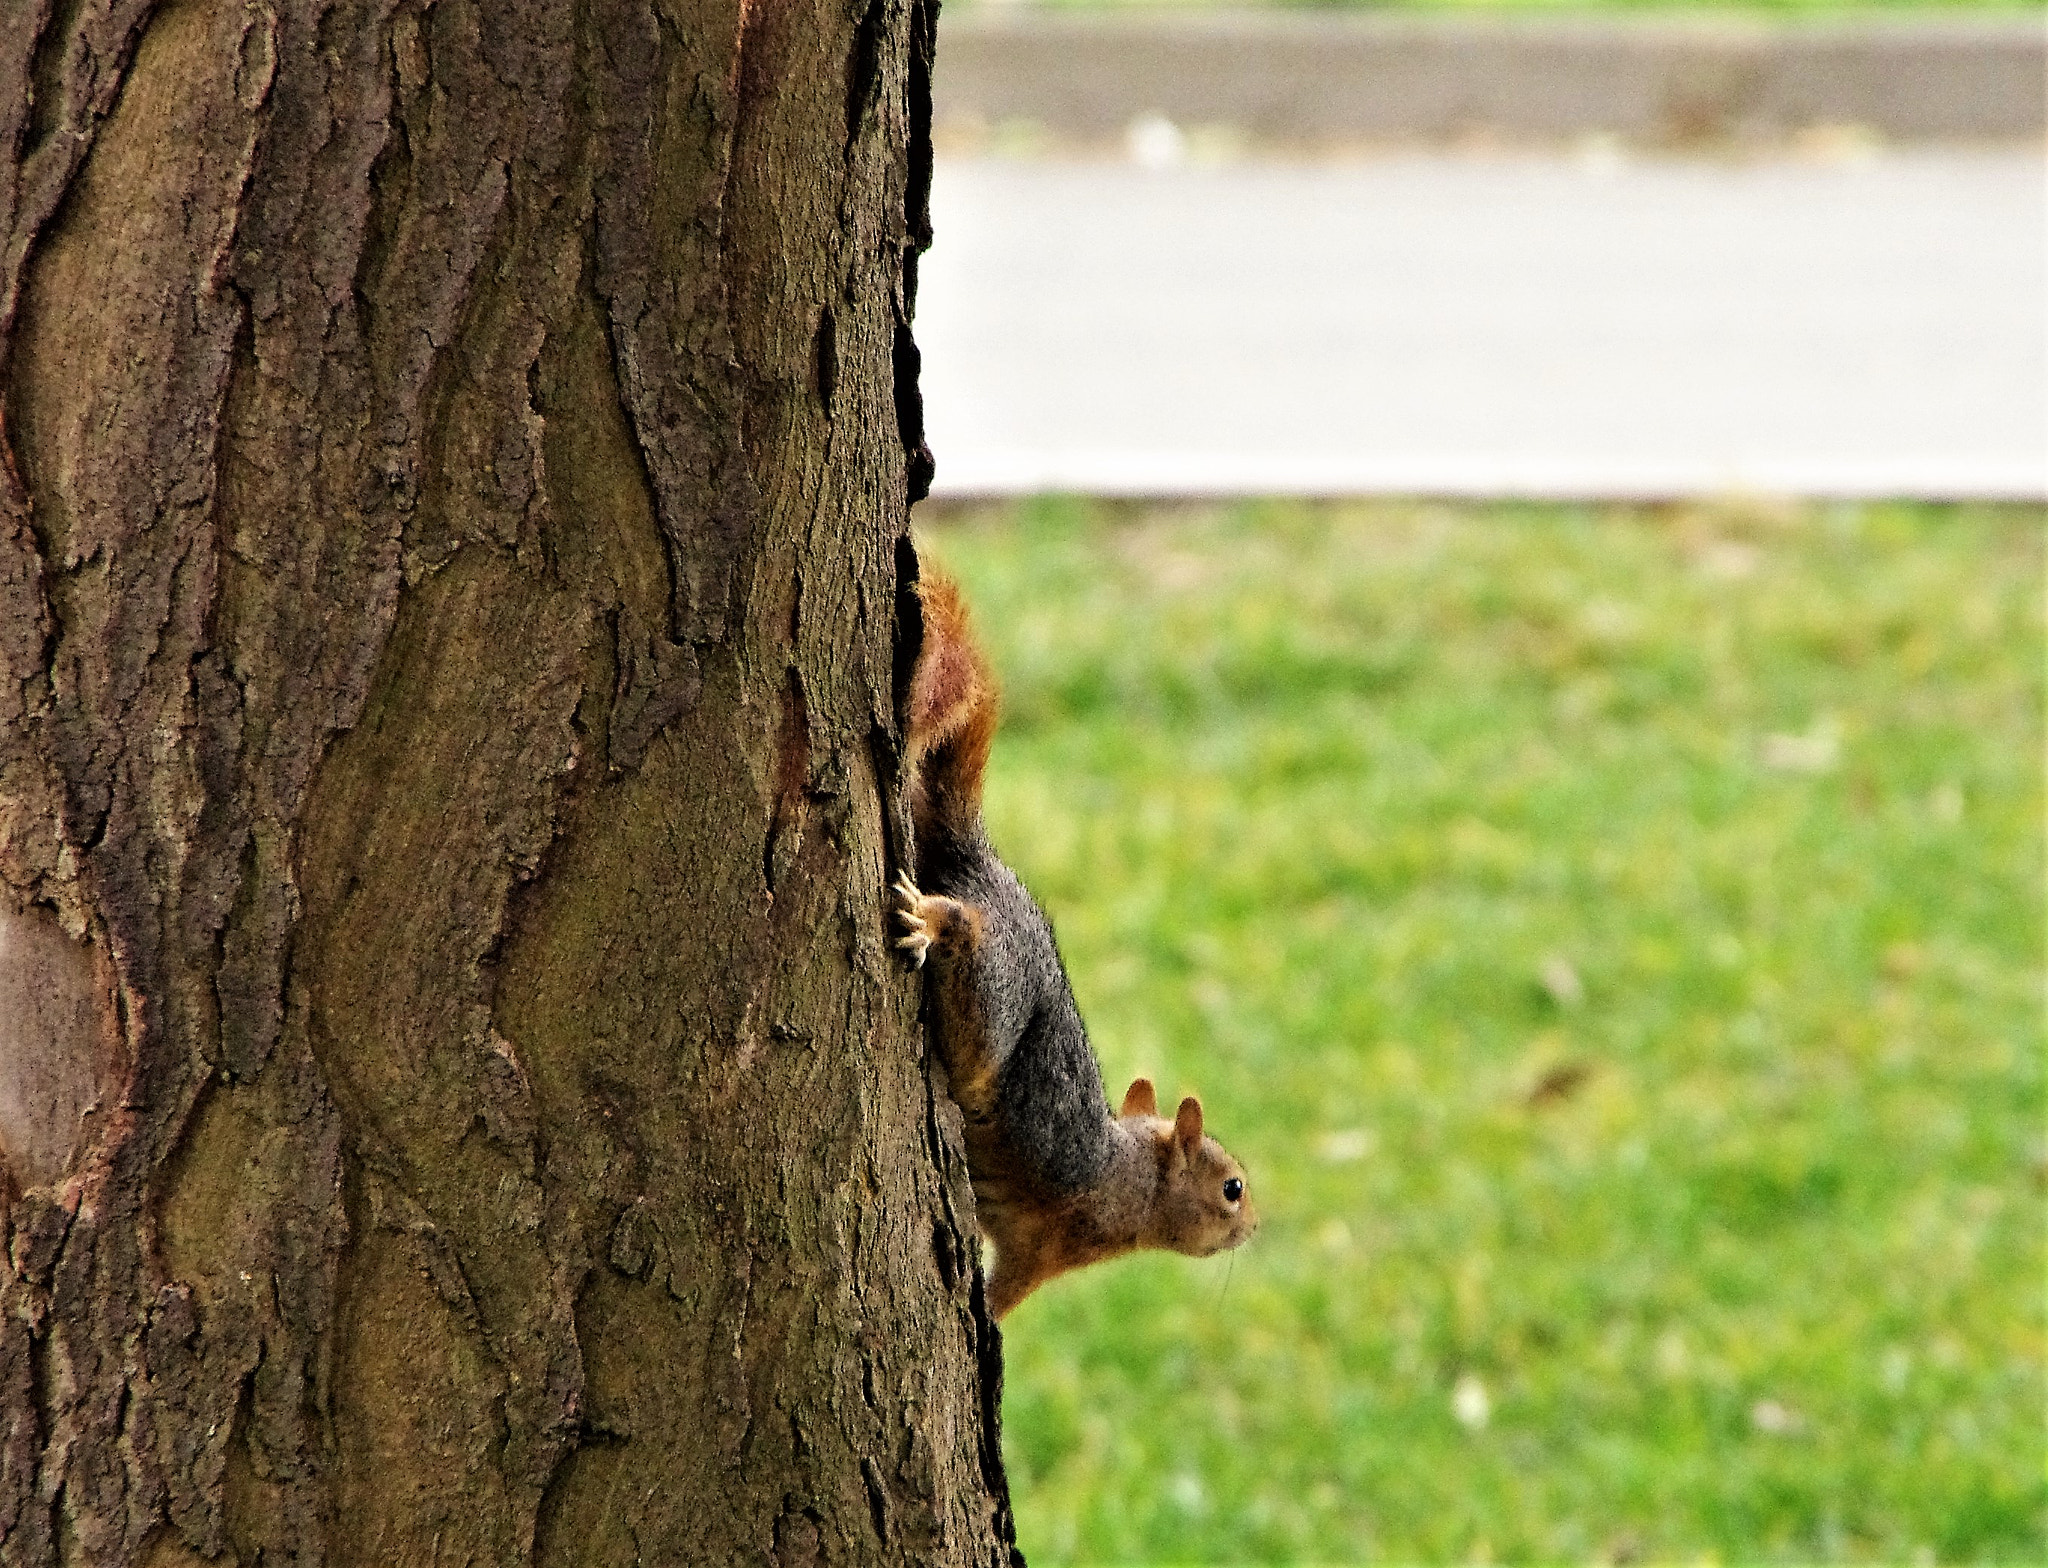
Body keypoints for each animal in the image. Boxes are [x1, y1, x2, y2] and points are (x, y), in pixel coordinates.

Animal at [892, 570, 1257, 1319]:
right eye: (1232, 1188)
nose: (1256, 1228)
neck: (1134, 1176)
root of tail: (981, 863)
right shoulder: (1054, 1242)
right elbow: (1004, 1293)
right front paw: (993, 1325)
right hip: (993, 993)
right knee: (969, 943)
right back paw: (937, 923)